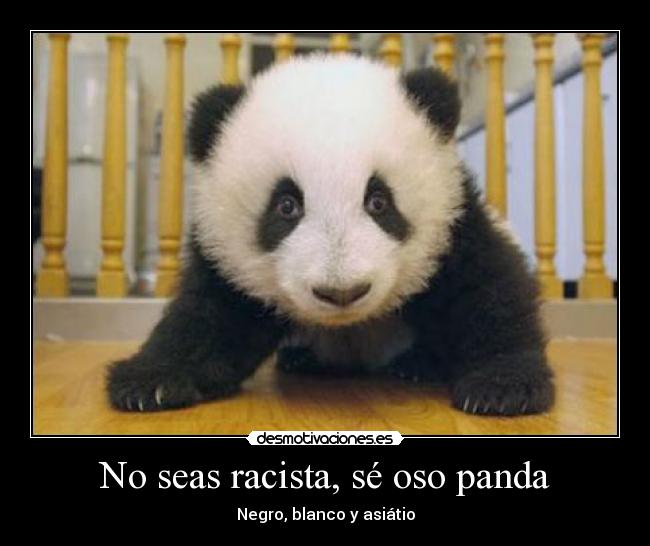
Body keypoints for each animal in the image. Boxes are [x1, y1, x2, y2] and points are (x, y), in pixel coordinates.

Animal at [107, 55, 554, 416]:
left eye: (379, 201)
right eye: (286, 205)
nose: (342, 292)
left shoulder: (453, 223)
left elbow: (486, 290)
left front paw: (503, 386)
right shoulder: (227, 257)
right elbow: (208, 315)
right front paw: (149, 381)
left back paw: (417, 363)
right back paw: (304, 358)